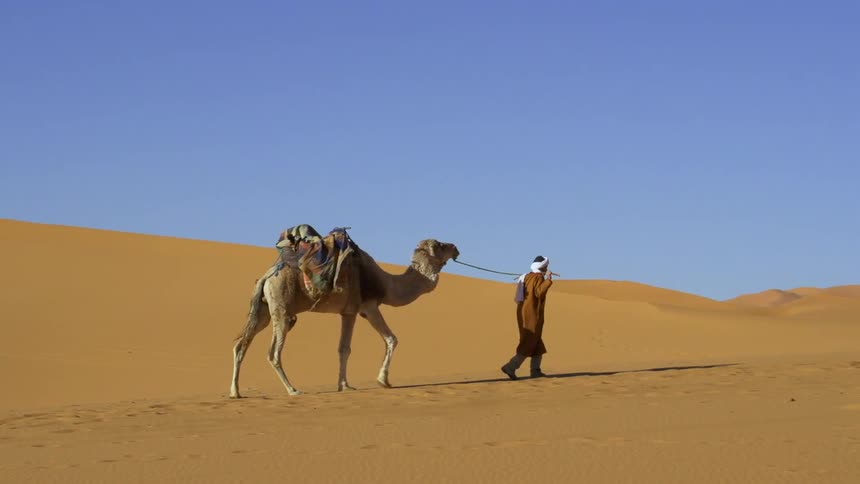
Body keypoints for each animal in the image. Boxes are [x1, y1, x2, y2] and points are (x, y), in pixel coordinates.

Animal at [229, 234, 460, 398]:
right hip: (282, 308)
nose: (456, 247)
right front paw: (381, 381)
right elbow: (388, 339)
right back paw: (293, 390)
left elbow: (343, 348)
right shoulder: (366, 307)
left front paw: (345, 385)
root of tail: (266, 276)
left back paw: (235, 392)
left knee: (241, 344)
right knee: (273, 353)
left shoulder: (351, 312)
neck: (385, 283)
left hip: (264, 310)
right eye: (440, 245)